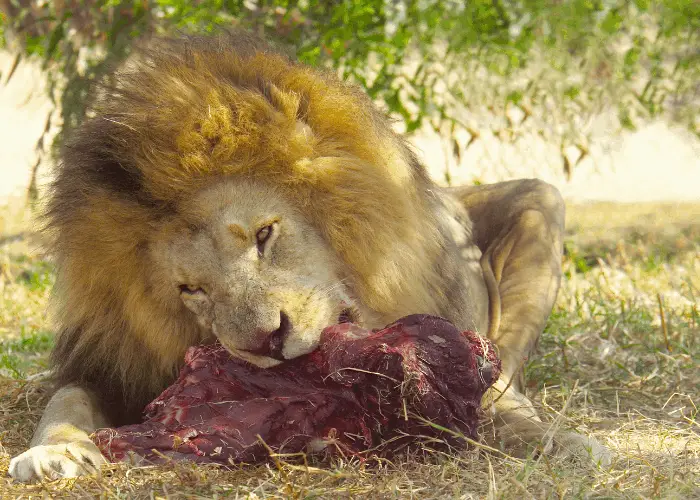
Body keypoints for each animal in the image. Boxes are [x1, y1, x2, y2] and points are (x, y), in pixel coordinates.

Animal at [8, 30, 608, 480]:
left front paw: (556, 440)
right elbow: (64, 401)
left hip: (542, 202)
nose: (265, 342)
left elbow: (496, 395)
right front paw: (53, 450)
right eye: (191, 289)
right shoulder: (110, 365)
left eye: (264, 235)